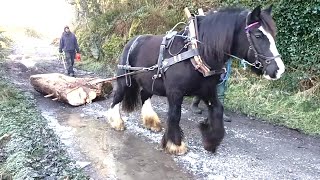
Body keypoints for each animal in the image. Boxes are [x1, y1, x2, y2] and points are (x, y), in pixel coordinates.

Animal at [107, 5, 284, 155]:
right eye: (258, 35)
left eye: (273, 34)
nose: (279, 69)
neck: (197, 52)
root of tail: (132, 40)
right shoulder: (175, 92)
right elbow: (175, 115)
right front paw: (175, 144)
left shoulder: (208, 91)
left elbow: (218, 110)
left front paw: (211, 140)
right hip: (124, 80)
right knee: (117, 98)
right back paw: (116, 121)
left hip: (150, 83)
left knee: (144, 96)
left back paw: (152, 122)